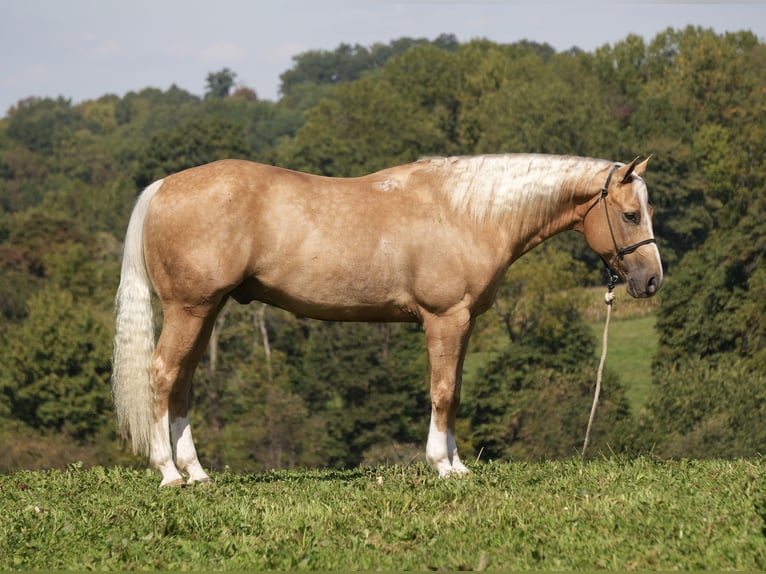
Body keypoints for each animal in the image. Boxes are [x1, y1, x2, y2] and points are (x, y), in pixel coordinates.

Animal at [112, 153, 663, 487]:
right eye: (631, 215)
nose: (653, 280)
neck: (467, 213)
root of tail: (161, 187)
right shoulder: (445, 319)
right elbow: (444, 391)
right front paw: (442, 465)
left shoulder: (462, 323)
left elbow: (455, 391)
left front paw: (457, 464)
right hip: (190, 309)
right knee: (163, 374)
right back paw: (169, 473)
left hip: (205, 311)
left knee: (182, 383)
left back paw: (196, 472)